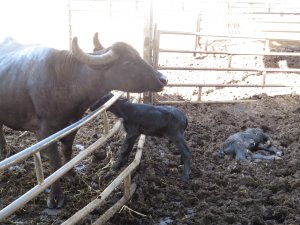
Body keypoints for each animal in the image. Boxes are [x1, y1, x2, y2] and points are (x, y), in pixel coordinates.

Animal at [0, 32, 168, 208]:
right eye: (127, 62)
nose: (163, 78)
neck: (63, 81)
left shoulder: (73, 124)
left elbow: (67, 150)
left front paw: (71, 175)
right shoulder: (44, 132)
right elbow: (55, 162)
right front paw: (55, 197)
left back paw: (5, 149)